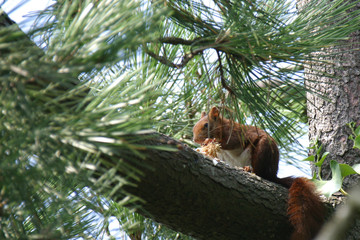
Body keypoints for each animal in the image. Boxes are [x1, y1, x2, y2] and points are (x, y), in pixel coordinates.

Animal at [193, 107, 324, 240]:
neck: (222, 126)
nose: (195, 140)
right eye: (194, 126)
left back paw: (249, 169)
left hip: (262, 150)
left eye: (206, 125)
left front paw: (210, 141)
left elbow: (231, 142)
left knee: (259, 172)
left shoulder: (235, 133)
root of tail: (272, 175)